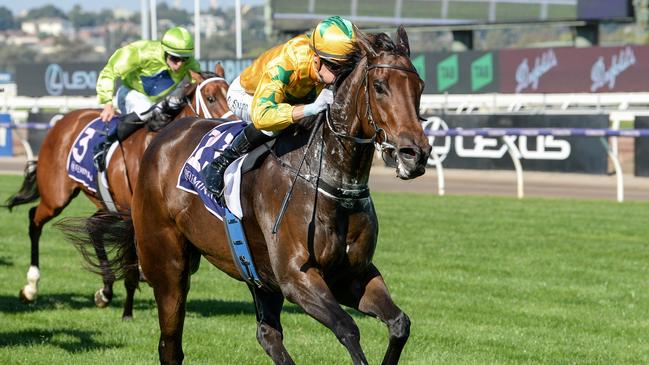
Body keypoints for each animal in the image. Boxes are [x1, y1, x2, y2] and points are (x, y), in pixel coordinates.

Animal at [3, 65, 233, 318]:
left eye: (230, 91)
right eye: (210, 98)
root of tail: (65, 120)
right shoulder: (137, 216)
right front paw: (127, 311)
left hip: (106, 205)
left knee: (92, 227)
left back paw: (104, 290)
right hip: (56, 196)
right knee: (35, 219)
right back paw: (31, 287)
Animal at [69, 27, 430, 362]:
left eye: (420, 86)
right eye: (379, 86)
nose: (415, 153)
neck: (328, 177)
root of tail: (163, 136)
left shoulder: (351, 274)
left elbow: (400, 324)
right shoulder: (297, 277)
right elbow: (348, 328)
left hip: (257, 273)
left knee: (268, 335)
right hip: (169, 266)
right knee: (170, 345)